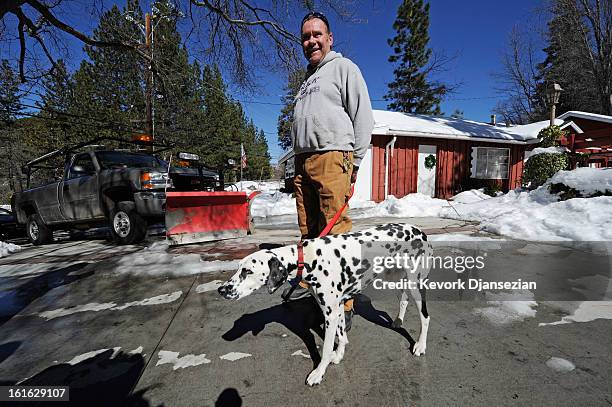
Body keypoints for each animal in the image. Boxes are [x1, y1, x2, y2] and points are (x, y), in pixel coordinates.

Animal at [218, 223, 432, 386]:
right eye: (239, 268)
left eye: (247, 271)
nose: (221, 290)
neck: (308, 258)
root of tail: (420, 231)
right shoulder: (335, 309)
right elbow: (342, 336)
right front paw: (339, 355)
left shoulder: (330, 313)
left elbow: (326, 348)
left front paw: (319, 372)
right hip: (399, 279)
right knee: (404, 298)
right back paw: (397, 321)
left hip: (416, 286)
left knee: (425, 317)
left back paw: (420, 346)